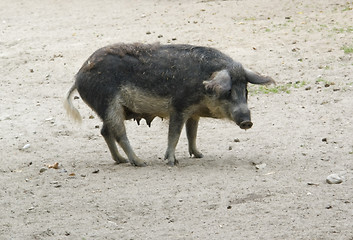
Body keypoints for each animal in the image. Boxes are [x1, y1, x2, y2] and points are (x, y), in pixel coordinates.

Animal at [64, 42, 274, 167]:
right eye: (228, 92)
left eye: (246, 91)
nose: (247, 122)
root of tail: (78, 76)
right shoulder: (178, 107)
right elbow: (175, 134)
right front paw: (172, 162)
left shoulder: (193, 113)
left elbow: (192, 133)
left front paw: (199, 155)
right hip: (109, 105)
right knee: (120, 134)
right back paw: (140, 162)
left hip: (110, 109)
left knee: (105, 131)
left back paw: (121, 160)